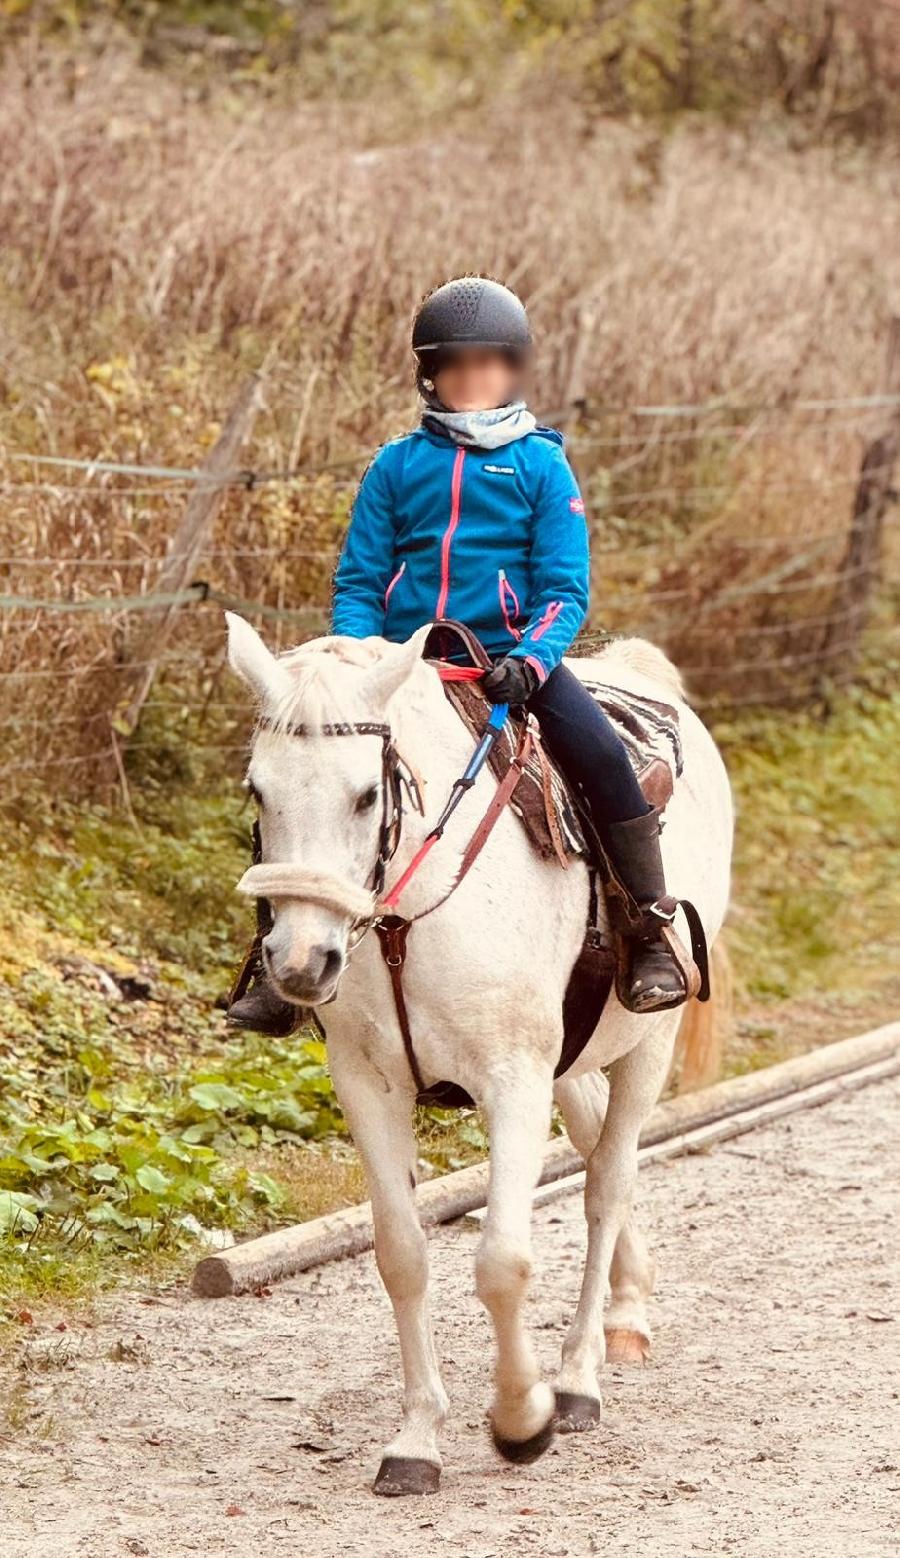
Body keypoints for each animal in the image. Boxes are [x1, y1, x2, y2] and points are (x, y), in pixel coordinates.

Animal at [222, 616, 728, 1495]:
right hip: (577, 1058)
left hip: (646, 1044)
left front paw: (522, 1419)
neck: (405, 921)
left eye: (366, 794)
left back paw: (578, 1379)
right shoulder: (369, 1088)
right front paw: (416, 1438)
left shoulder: (514, 1084)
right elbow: (402, 1256)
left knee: (606, 1185)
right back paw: (627, 1311)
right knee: (598, 1151)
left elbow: (502, 1262)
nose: (300, 962)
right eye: (259, 790)